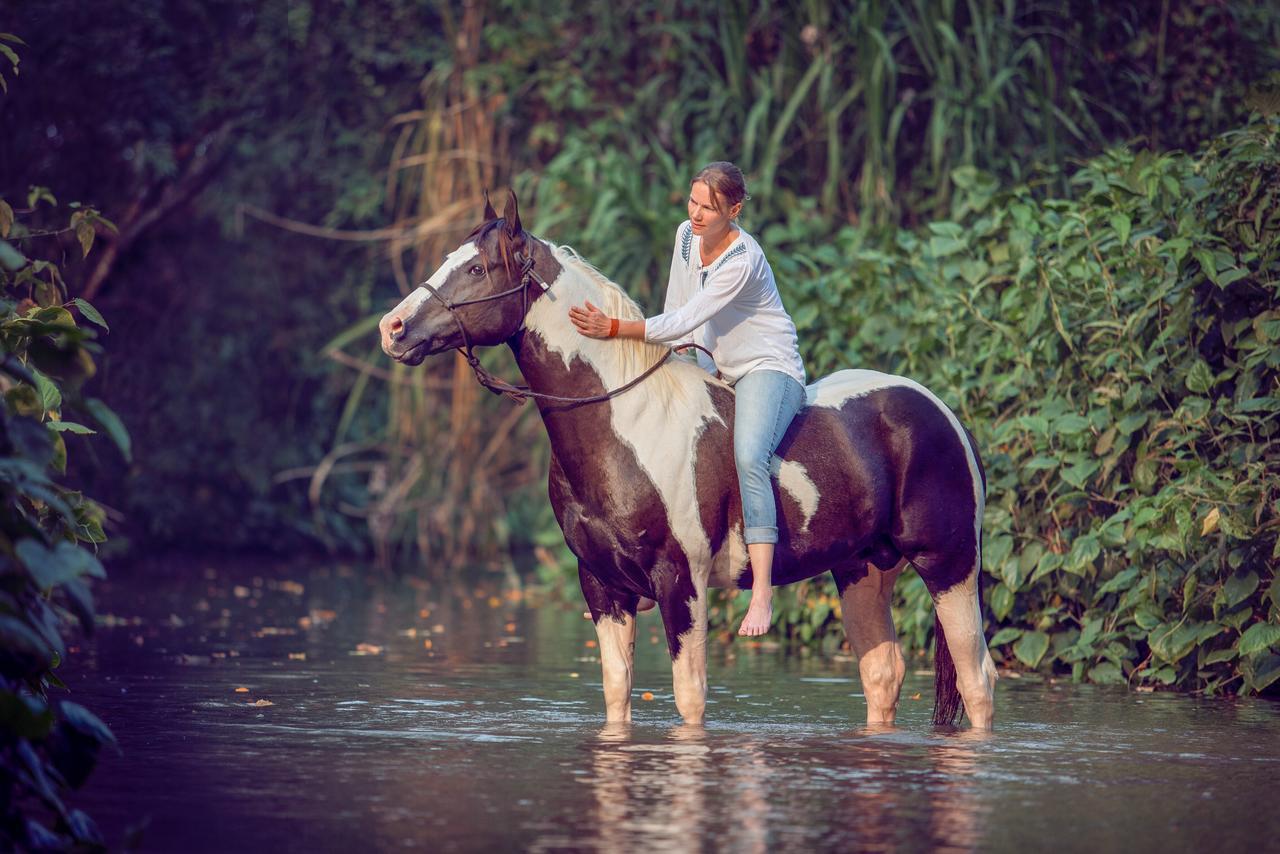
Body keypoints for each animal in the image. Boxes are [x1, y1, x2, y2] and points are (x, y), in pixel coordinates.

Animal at [378, 192, 998, 727]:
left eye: (479, 270)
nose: (393, 328)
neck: (625, 424)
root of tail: (944, 413)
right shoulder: (602, 587)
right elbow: (617, 694)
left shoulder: (682, 582)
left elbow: (690, 698)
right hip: (863, 568)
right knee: (882, 675)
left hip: (950, 566)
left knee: (977, 679)